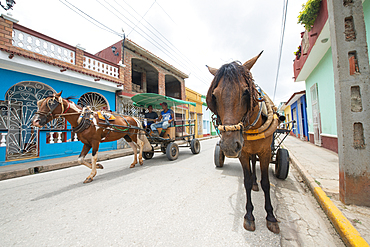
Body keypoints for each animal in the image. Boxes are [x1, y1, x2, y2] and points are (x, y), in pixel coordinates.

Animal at [205, 53, 280, 234]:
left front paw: (271, 217)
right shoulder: (243, 153)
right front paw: (249, 215)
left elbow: (266, 183)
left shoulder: (266, 152)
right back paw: (254, 183)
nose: (229, 146)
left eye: (246, 92)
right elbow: (246, 181)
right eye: (214, 95)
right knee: (253, 164)